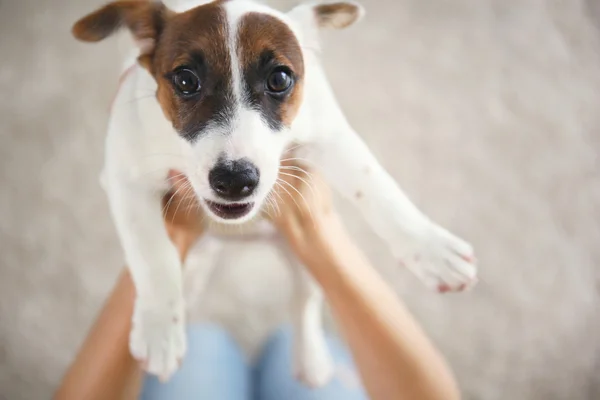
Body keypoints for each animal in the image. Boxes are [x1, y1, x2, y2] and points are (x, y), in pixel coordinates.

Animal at [71, 0, 478, 388]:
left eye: (279, 79)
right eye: (185, 80)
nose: (235, 180)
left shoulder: (329, 135)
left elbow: (375, 186)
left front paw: (430, 247)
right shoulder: (123, 175)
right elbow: (151, 253)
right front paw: (160, 328)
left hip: (305, 252)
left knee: (305, 298)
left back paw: (310, 356)